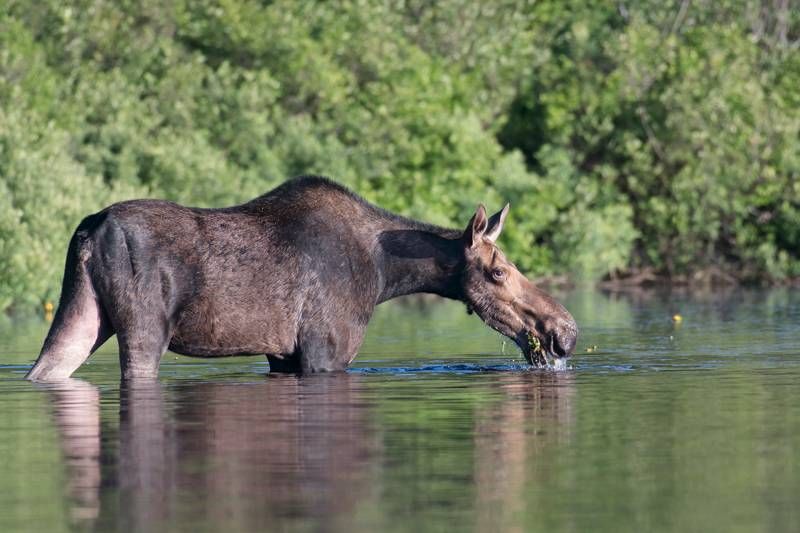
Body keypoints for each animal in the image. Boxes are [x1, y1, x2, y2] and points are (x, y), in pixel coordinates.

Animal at [25, 175, 576, 378]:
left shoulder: (283, 355)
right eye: (498, 271)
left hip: (83, 316)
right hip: (143, 331)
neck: (386, 277)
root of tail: (91, 229)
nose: (564, 331)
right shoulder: (326, 350)